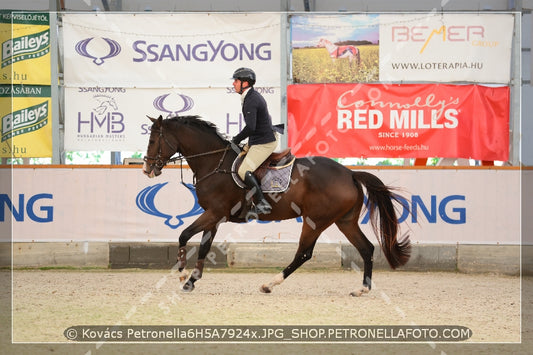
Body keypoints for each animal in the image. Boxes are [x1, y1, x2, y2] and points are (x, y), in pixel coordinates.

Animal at [142, 115, 412, 296]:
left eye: (154, 139)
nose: (147, 169)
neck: (213, 161)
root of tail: (350, 173)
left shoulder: (214, 212)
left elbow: (184, 235)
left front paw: (182, 275)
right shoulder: (215, 217)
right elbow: (203, 246)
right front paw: (192, 280)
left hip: (316, 221)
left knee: (304, 253)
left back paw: (269, 283)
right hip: (345, 221)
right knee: (366, 248)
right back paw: (363, 289)